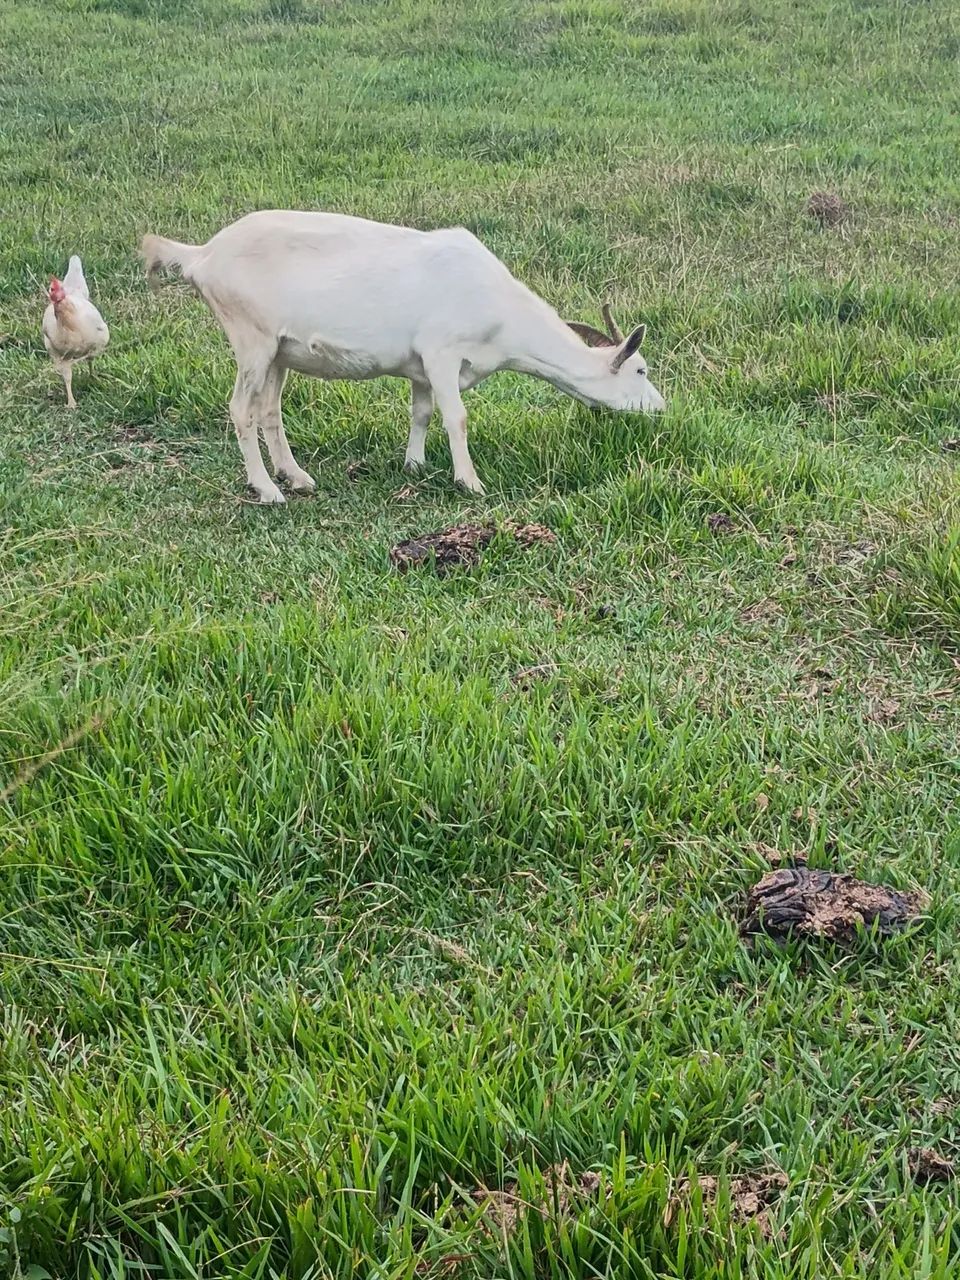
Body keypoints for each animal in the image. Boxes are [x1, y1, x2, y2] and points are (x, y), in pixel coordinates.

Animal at [141, 211, 665, 503]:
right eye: (640, 369)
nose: (661, 409)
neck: (499, 312)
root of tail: (202, 256)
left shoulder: (421, 366)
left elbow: (422, 412)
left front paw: (414, 465)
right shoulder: (442, 352)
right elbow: (456, 416)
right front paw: (469, 482)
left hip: (278, 351)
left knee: (269, 409)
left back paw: (297, 478)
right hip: (251, 336)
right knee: (240, 409)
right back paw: (267, 490)